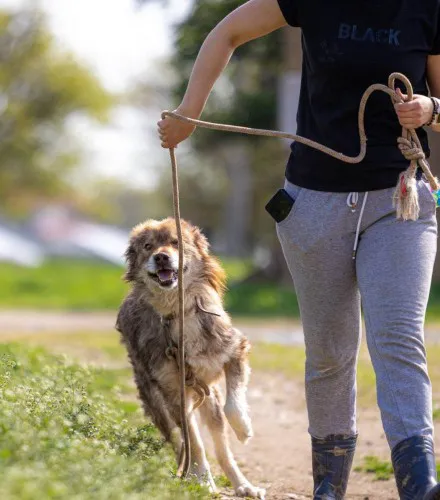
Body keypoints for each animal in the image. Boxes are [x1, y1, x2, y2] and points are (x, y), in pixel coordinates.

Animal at [115, 217, 264, 498]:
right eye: (148, 246)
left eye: (176, 243)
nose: (161, 257)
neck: (178, 311)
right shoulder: (175, 393)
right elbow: (195, 445)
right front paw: (203, 480)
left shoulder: (235, 349)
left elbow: (233, 405)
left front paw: (244, 428)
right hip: (157, 404)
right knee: (179, 443)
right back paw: (186, 475)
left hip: (209, 399)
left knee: (222, 448)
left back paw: (243, 485)